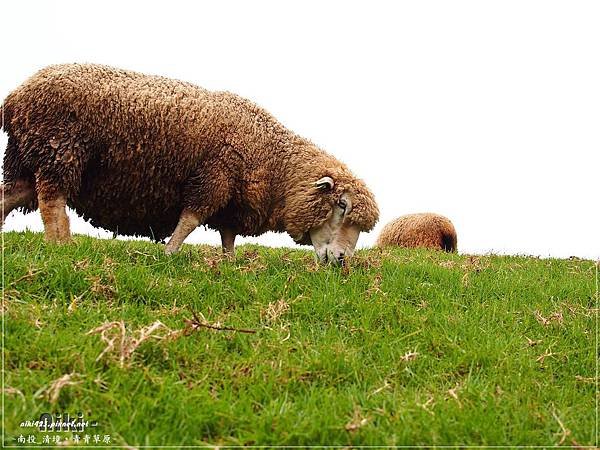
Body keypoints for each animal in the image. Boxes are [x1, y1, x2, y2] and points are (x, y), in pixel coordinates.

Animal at [2, 63, 380, 264]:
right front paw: (170, 252)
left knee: (12, 196)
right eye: (342, 206)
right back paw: (60, 246)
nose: (342, 261)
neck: (275, 161)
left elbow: (228, 234)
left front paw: (229, 263)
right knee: (52, 202)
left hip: (27, 157)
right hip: (59, 151)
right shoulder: (216, 176)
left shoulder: (233, 199)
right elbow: (190, 219)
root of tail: (14, 99)